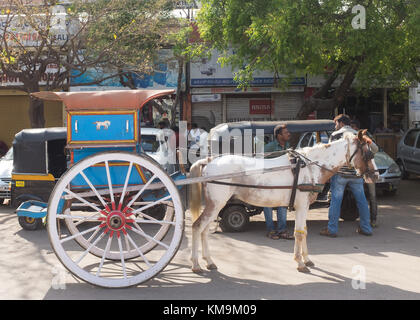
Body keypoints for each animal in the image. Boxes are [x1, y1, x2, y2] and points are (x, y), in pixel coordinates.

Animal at [189, 129, 376, 272]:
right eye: (368, 153)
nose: (375, 175)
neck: (310, 168)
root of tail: (209, 161)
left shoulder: (304, 207)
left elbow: (304, 231)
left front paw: (307, 259)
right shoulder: (301, 205)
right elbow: (299, 233)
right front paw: (300, 263)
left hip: (215, 205)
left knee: (204, 230)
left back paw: (209, 261)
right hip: (216, 204)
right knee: (197, 227)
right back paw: (196, 264)